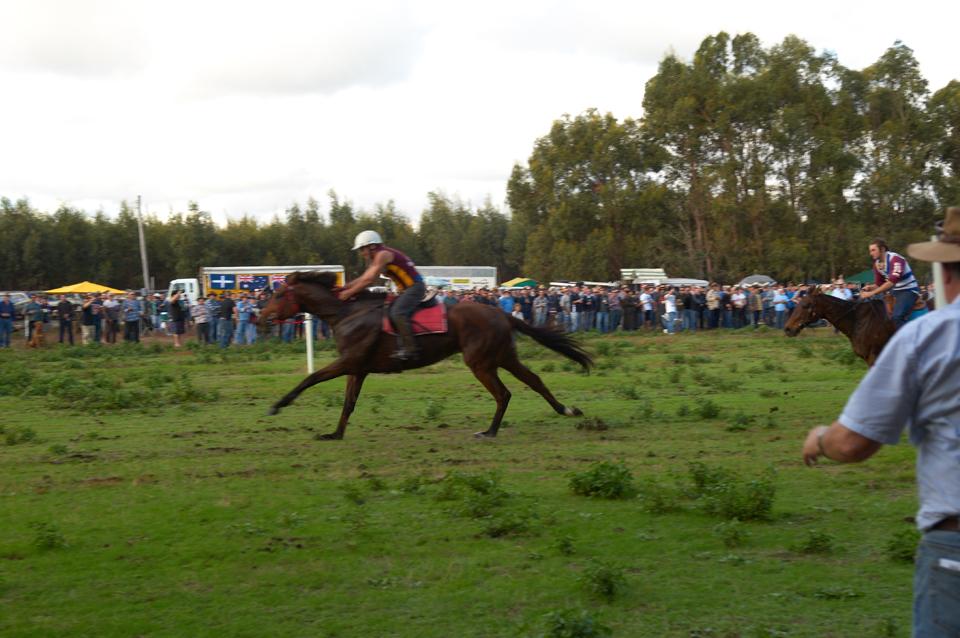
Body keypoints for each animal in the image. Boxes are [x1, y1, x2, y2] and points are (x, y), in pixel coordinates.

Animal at [257, 271, 593, 439]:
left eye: (278, 294)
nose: (261, 318)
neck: (346, 313)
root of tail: (501, 312)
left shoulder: (349, 362)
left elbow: (311, 378)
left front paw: (277, 405)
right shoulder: (358, 368)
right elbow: (348, 403)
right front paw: (335, 434)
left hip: (480, 362)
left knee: (503, 394)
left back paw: (490, 431)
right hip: (503, 357)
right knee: (534, 380)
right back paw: (566, 410)